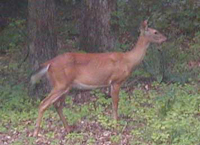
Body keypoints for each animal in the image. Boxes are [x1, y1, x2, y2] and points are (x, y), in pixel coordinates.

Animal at [30, 20, 166, 137]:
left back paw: (68, 129)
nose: (165, 38)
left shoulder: (111, 84)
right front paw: (116, 127)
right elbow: (115, 104)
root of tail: (49, 64)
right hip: (60, 83)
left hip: (66, 86)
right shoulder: (116, 81)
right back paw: (36, 133)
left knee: (57, 105)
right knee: (43, 103)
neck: (128, 61)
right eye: (155, 32)